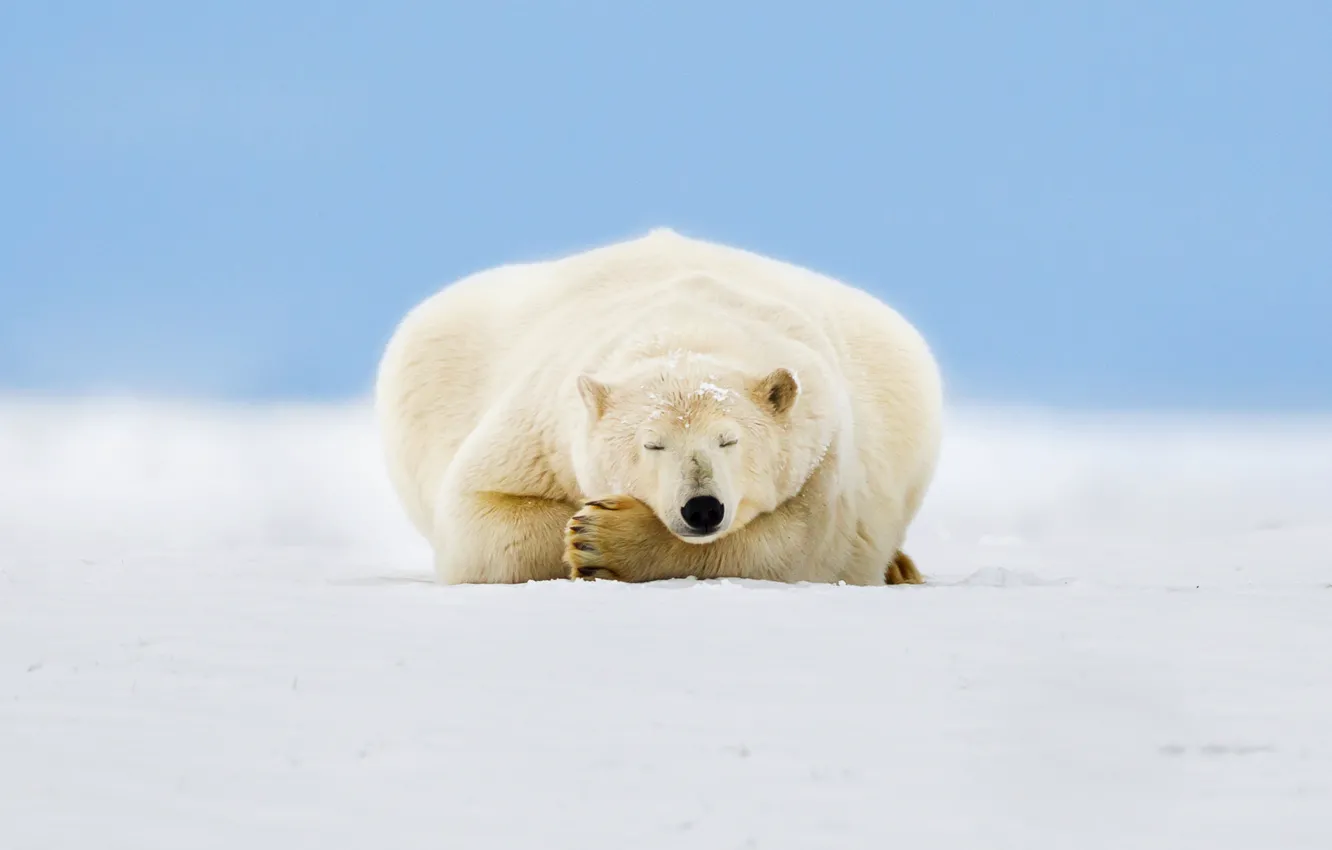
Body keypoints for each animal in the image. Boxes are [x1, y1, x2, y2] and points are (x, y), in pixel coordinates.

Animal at [370, 227, 943, 586]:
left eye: (729, 440)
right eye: (653, 444)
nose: (702, 507)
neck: (685, 326)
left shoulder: (825, 450)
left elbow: (799, 545)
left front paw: (604, 539)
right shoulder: (540, 427)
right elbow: (479, 516)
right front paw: (581, 528)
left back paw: (902, 568)